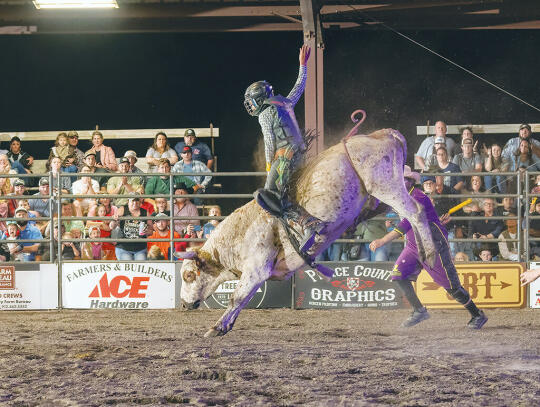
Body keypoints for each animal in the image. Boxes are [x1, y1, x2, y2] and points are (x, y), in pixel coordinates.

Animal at [179, 128, 436, 338]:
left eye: (189, 275)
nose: (182, 304)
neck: (238, 235)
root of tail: (384, 134)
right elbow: (243, 300)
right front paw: (224, 327)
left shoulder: (257, 268)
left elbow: (237, 298)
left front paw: (216, 327)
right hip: (386, 190)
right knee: (413, 195)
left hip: (385, 185)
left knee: (416, 211)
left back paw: (430, 254)